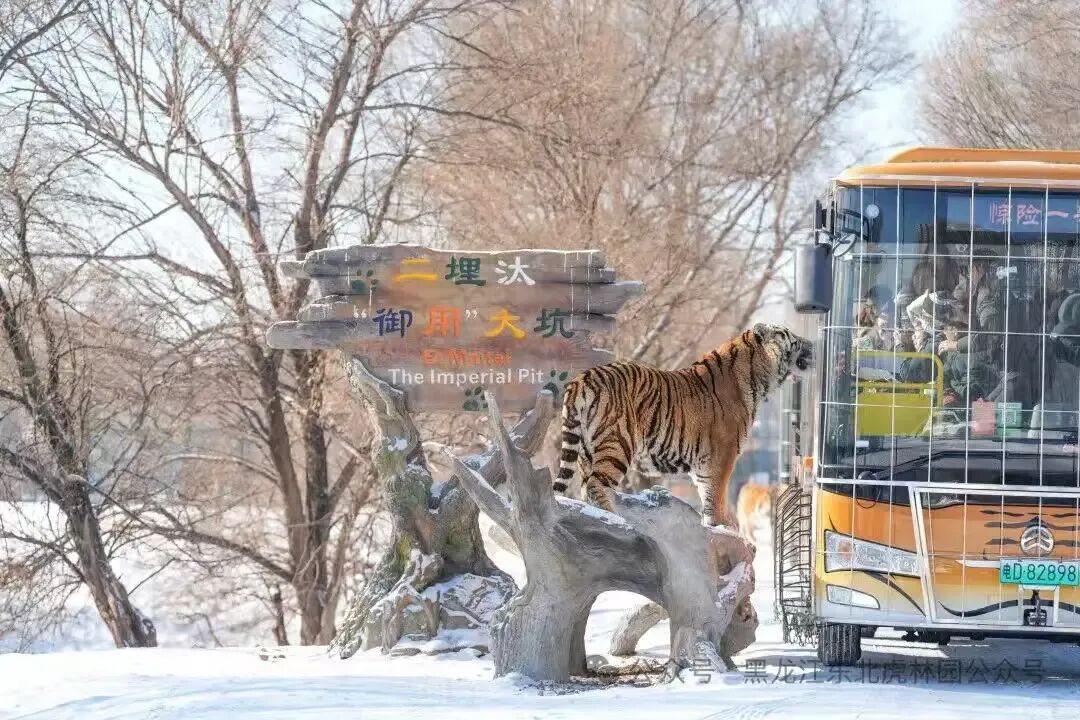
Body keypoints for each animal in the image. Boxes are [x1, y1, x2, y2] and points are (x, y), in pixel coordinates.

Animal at [553, 323, 813, 526]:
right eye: (790, 335)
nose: (811, 343)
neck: (757, 378)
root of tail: (580, 379)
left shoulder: (703, 464)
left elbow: (707, 496)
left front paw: (711, 525)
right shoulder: (723, 455)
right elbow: (717, 496)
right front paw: (722, 525)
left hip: (586, 451)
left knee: (585, 487)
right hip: (617, 443)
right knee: (596, 485)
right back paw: (614, 519)